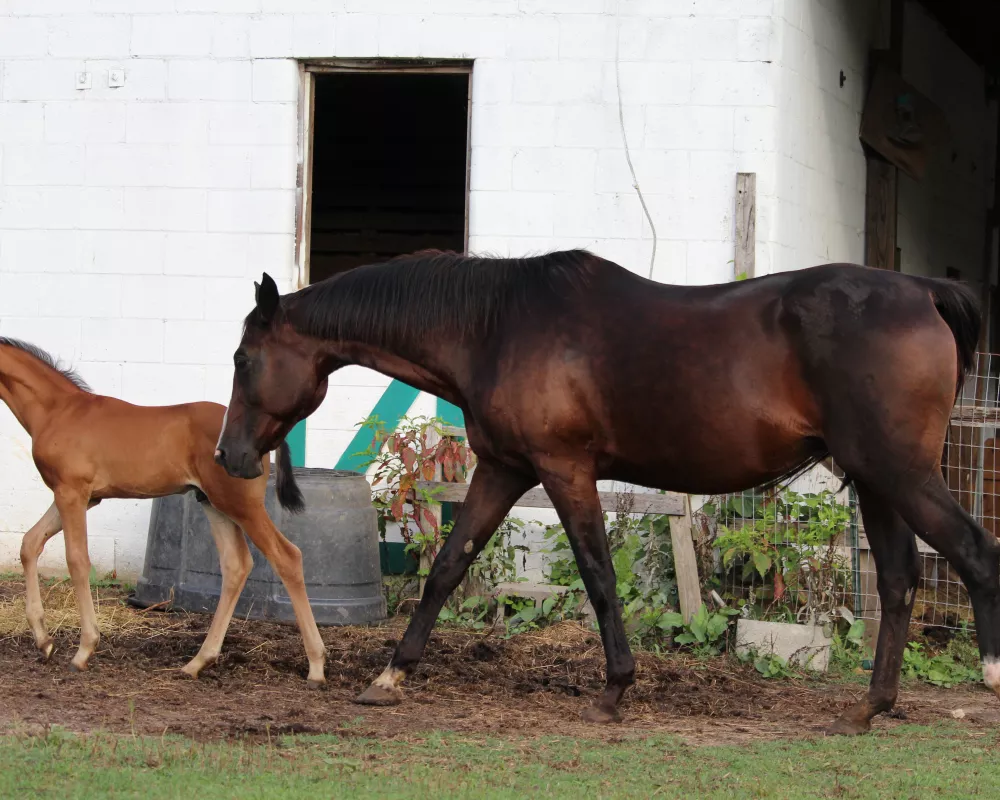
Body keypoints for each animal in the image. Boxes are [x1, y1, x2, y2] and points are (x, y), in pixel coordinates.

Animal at [0, 338, 326, 688]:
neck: (57, 410)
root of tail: (262, 438)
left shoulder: (72, 493)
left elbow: (77, 560)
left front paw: (84, 650)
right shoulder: (83, 498)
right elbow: (30, 544)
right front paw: (43, 642)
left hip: (241, 505)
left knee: (287, 557)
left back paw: (316, 666)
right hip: (213, 503)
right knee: (236, 565)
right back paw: (198, 662)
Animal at [213, 248, 992, 732]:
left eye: (245, 358)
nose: (230, 455)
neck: (495, 327)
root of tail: (924, 292)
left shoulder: (564, 468)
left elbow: (597, 574)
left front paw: (614, 690)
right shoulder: (503, 469)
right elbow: (447, 568)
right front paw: (389, 677)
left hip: (899, 474)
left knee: (974, 552)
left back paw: (986, 677)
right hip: (876, 481)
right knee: (900, 579)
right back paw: (867, 709)